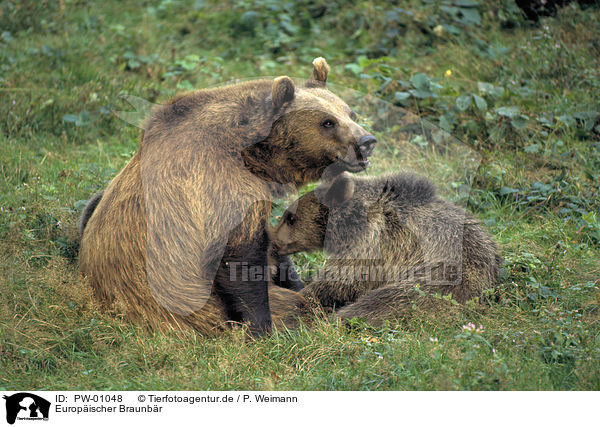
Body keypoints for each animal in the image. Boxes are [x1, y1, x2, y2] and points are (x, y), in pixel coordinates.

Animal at [78, 58, 376, 336]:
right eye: (327, 122)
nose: (366, 142)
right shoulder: (219, 184)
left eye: (350, 112)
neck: (251, 154)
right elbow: (241, 257)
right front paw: (262, 326)